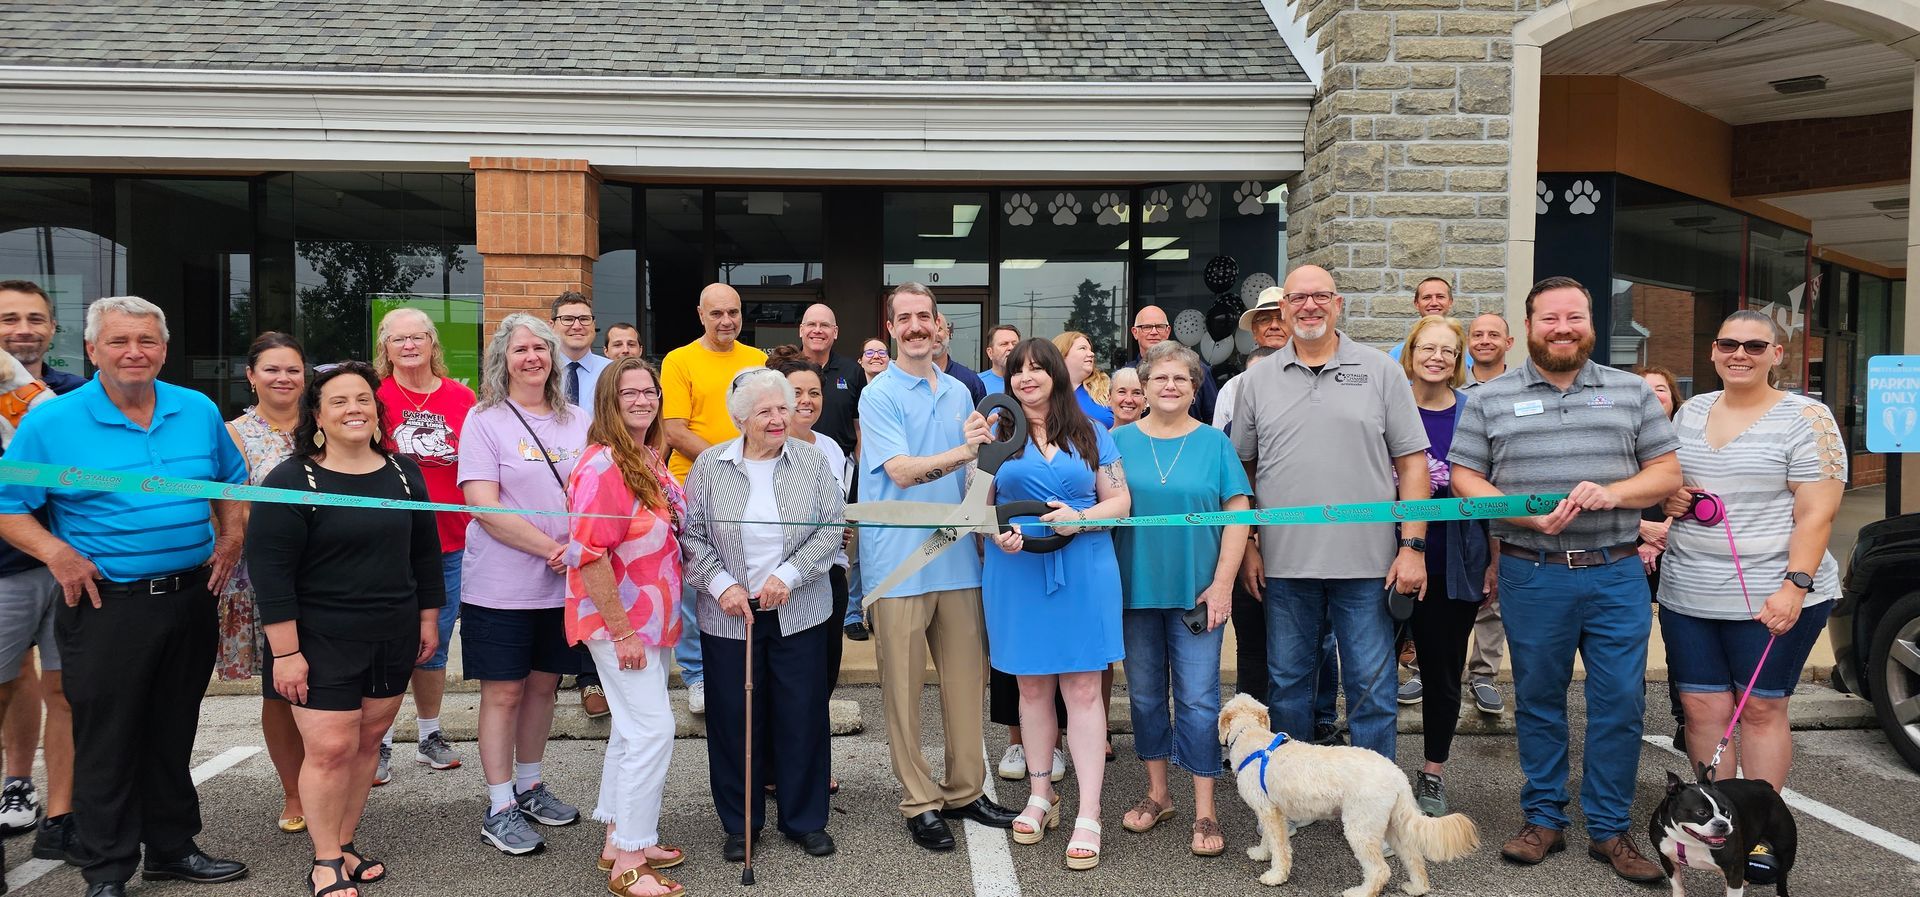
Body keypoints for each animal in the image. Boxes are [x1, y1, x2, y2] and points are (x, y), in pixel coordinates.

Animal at [1221, 695, 1474, 897]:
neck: (1251, 737)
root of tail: (1396, 775)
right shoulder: (1272, 811)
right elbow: (1269, 840)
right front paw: (1261, 853)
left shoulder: (1269, 812)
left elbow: (1280, 848)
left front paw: (1275, 875)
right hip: (1391, 825)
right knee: (1414, 858)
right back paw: (1417, 887)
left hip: (1359, 827)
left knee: (1380, 870)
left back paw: (1361, 892)